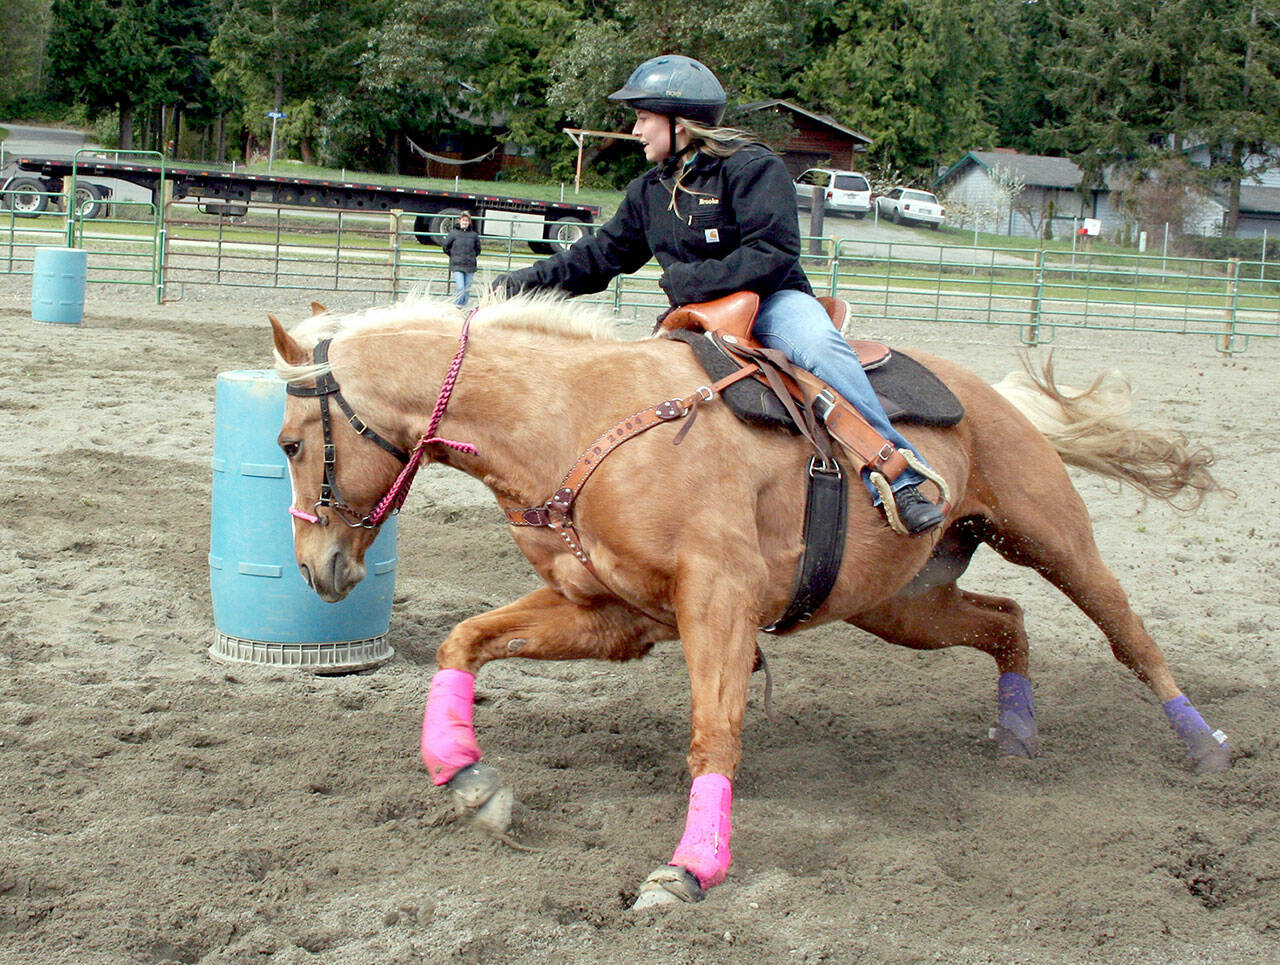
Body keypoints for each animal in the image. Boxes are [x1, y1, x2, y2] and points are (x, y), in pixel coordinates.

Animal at [267, 293, 1232, 908]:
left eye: (288, 442)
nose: (318, 569)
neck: (577, 416)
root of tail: (994, 393)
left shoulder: (718, 602)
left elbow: (714, 732)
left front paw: (690, 869)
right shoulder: (609, 616)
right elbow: (464, 640)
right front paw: (469, 780)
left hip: (1053, 537)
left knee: (1126, 632)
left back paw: (1205, 746)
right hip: (901, 603)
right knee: (1006, 623)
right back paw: (1019, 736)